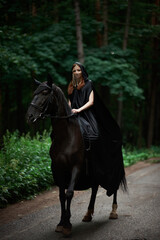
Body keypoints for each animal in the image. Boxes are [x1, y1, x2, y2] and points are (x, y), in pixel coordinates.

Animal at [26, 76, 126, 236]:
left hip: (112, 166)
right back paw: (88, 214)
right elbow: (61, 195)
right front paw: (61, 223)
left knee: (114, 185)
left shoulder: (76, 167)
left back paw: (113, 211)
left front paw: (67, 224)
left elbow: (69, 193)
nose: (29, 116)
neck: (66, 136)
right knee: (94, 188)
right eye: (35, 92)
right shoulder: (58, 168)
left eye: (45, 93)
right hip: (94, 172)